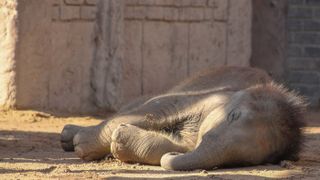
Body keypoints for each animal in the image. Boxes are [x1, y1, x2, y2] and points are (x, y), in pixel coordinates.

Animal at [59, 66, 304, 170]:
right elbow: (159, 109)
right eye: (233, 116)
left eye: (247, 163)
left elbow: (172, 145)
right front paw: (82, 145)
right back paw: (69, 136)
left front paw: (121, 138)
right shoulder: (207, 95)